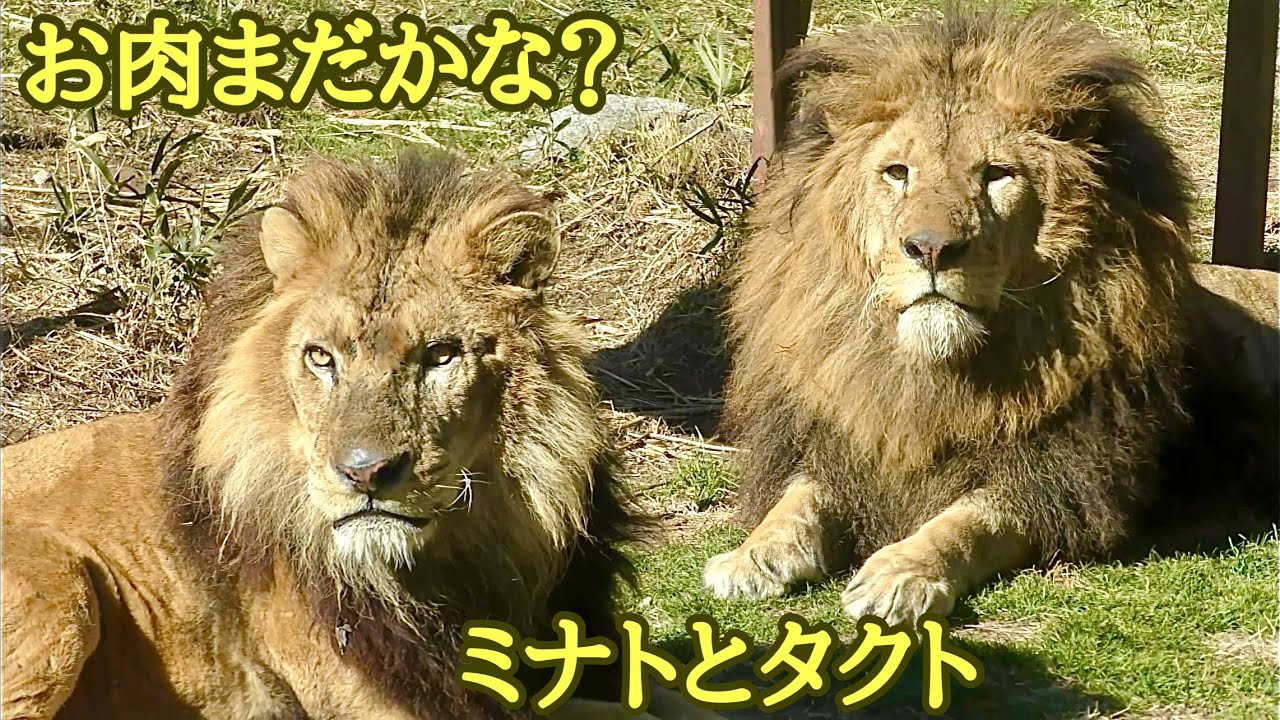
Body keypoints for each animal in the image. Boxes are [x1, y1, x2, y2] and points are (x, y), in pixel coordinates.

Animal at [703, 6, 1279, 627]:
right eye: (897, 172)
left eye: (997, 174)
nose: (930, 248)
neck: (928, 370)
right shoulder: (837, 446)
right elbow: (796, 504)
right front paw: (749, 556)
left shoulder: (1056, 481)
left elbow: (965, 522)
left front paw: (900, 573)